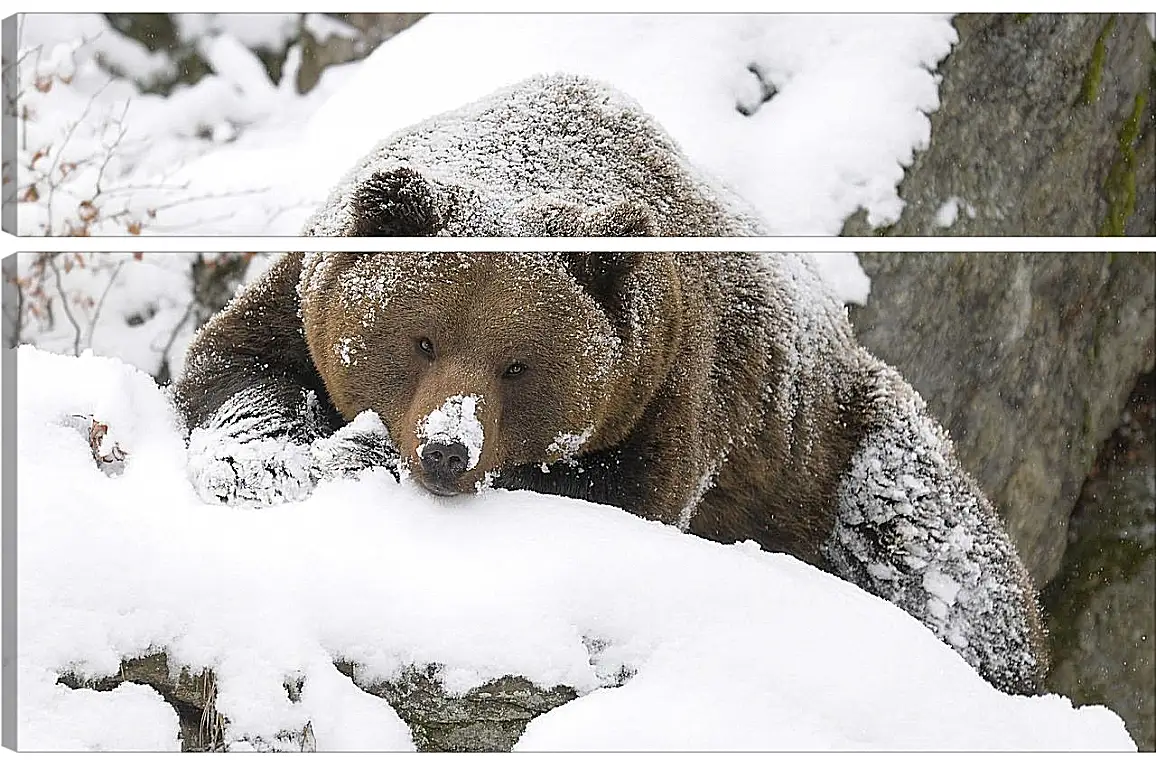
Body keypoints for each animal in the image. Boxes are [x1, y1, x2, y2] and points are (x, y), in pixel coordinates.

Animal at [173, 72, 1049, 693]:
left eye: (518, 364)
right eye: (421, 339)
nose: (447, 450)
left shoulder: (670, 388)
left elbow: (616, 495)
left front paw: (364, 454)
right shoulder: (298, 297)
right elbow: (236, 376)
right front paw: (290, 454)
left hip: (838, 453)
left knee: (941, 557)